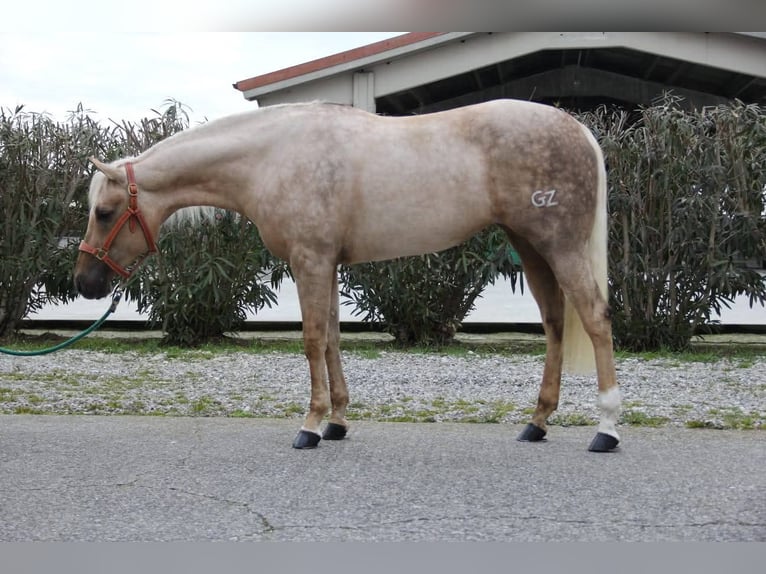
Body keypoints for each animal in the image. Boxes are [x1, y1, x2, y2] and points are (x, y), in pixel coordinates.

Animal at [73, 99, 621, 452]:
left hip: (559, 247)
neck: (272, 157)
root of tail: (578, 130)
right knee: (555, 324)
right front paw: (337, 421)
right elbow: (334, 338)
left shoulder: (310, 260)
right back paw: (537, 423)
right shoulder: (328, 263)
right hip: (531, 248)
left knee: (595, 320)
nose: (86, 282)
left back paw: (607, 429)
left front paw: (311, 425)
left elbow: (314, 340)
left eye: (104, 211)